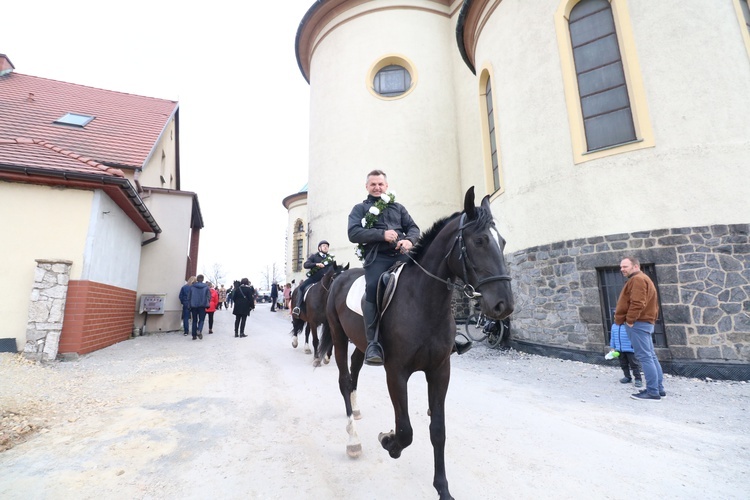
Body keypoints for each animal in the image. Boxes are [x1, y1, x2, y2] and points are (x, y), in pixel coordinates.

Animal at [320, 188, 516, 500]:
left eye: (503, 241)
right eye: (480, 241)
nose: (503, 305)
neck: (423, 302)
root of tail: (339, 278)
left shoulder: (440, 370)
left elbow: (438, 430)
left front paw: (443, 489)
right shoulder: (396, 372)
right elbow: (405, 431)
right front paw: (388, 442)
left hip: (361, 344)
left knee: (354, 375)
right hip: (339, 338)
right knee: (344, 380)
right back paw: (353, 439)